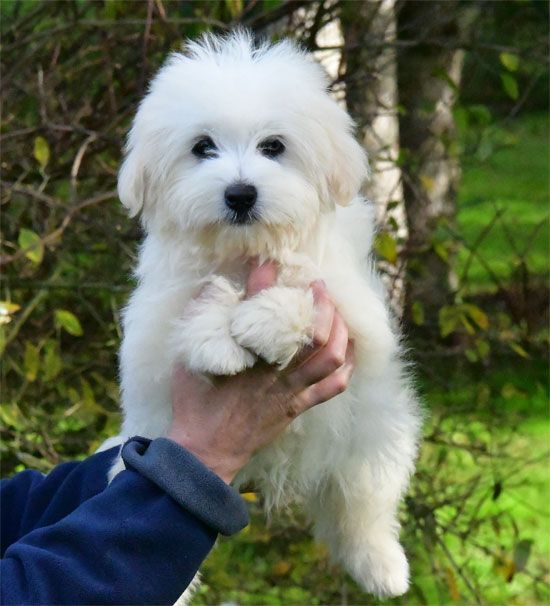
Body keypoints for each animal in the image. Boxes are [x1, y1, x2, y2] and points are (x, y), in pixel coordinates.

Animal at [113, 32, 422, 600]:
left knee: (362, 508)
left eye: (274, 147)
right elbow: (187, 314)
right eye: (202, 147)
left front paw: (265, 322)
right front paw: (216, 338)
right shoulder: (155, 319)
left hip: (376, 437)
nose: (240, 193)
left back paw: (383, 568)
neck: (246, 250)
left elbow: (310, 295)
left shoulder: (358, 313)